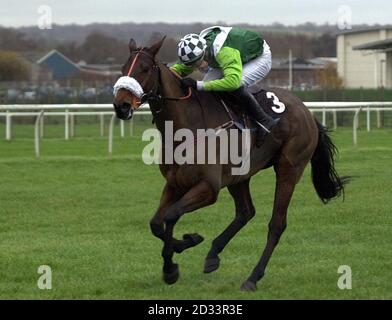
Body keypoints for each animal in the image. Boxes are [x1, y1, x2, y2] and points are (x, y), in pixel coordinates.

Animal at [112, 37, 348, 292]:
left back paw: (253, 278)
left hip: (289, 169)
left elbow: (171, 215)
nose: (121, 106)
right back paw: (213, 254)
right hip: (239, 175)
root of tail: (307, 112)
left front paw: (172, 264)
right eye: (123, 69)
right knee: (246, 212)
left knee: (276, 224)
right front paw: (184, 245)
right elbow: (156, 223)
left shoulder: (208, 188)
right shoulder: (175, 183)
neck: (185, 127)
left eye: (145, 69)